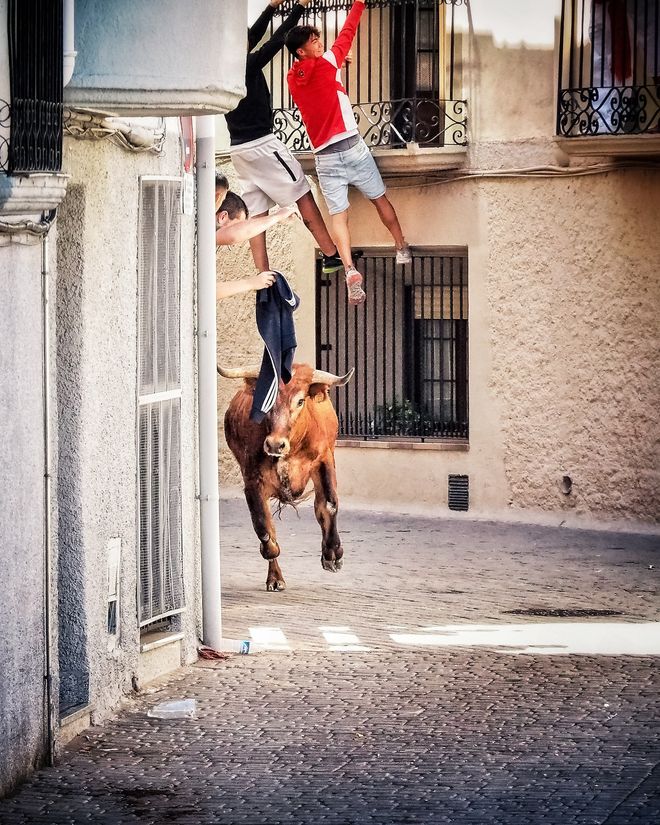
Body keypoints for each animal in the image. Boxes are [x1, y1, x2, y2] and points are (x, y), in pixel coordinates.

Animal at [220, 360, 356, 584]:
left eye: (300, 401)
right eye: (266, 400)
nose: (275, 444)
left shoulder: (324, 459)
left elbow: (328, 505)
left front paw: (332, 554)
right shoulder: (252, 478)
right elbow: (263, 524)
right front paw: (270, 551)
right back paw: (275, 577)